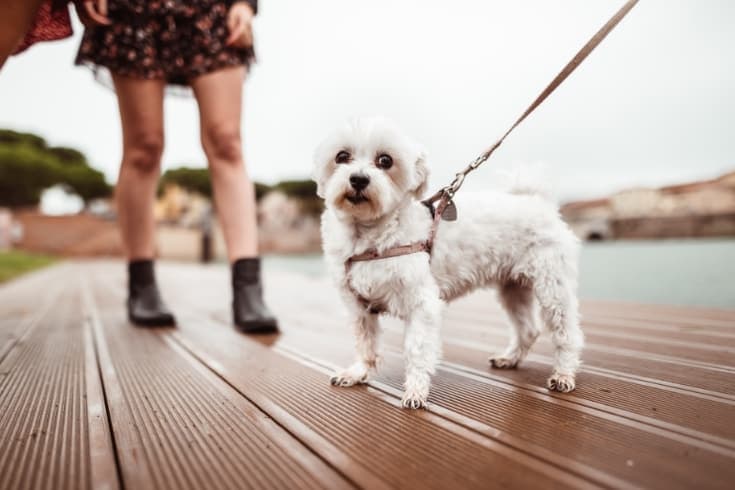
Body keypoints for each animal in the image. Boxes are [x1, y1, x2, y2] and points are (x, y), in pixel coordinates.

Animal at [314, 117, 584, 408]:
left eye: (385, 160)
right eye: (342, 156)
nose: (358, 179)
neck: (368, 235)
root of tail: (536, 200)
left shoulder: (422, 304)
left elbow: (417, 349)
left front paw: (415, 391)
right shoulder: (358, 307)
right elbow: (365, 343)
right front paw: (358, 372)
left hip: (552, 287)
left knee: (566, 333)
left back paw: (563, 375)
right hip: (512, 288)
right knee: (529, 329)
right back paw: (509, 359)